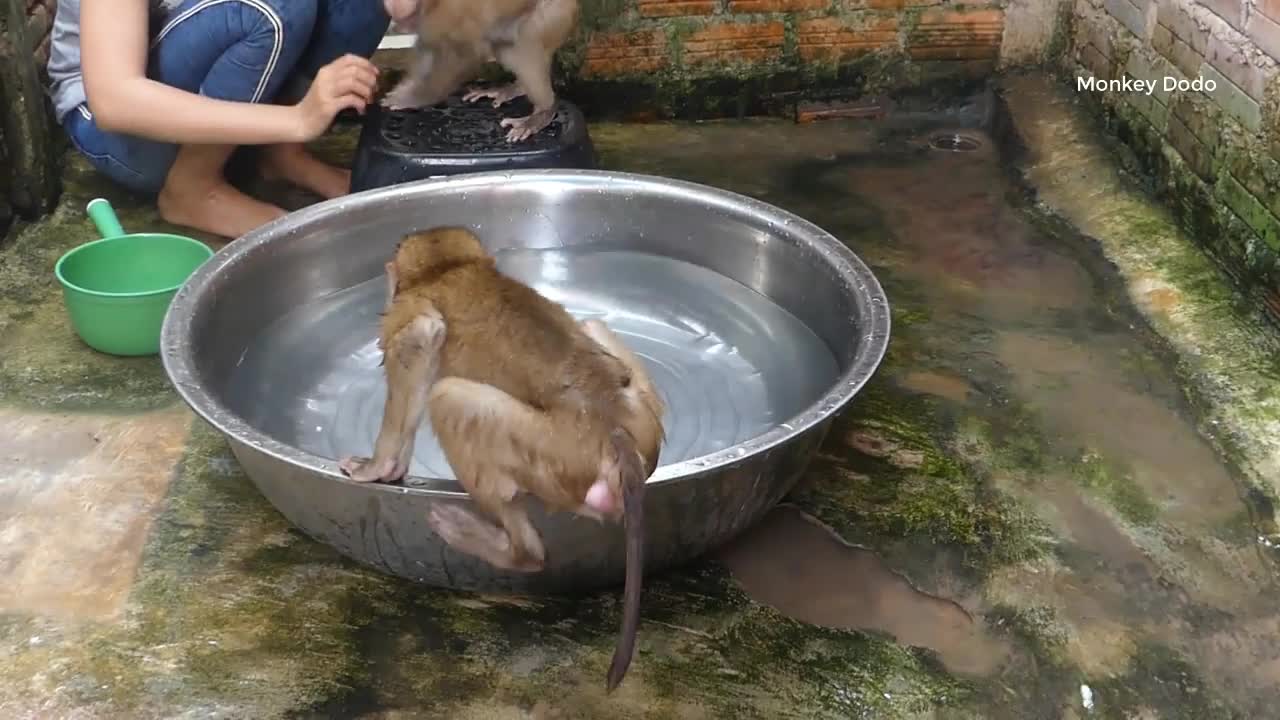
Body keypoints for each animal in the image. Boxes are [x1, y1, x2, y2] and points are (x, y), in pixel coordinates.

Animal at [335, 226, 665, 686]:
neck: (450, 268)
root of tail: (612, 425)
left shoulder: (409, 312)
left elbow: (422, 338)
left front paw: (377, 467)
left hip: (554, 451)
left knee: (447, 398)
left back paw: (515, 550)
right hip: (641, 419)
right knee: (591, 324)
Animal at [378, 0, 581, 142]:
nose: (397, 20)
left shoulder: (446, 15)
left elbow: (464, 55)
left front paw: (413, 99)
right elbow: (428, 51)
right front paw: (406, 89)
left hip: (554, 14)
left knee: (523, 44)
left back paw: (544, 111)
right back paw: (516, 89)